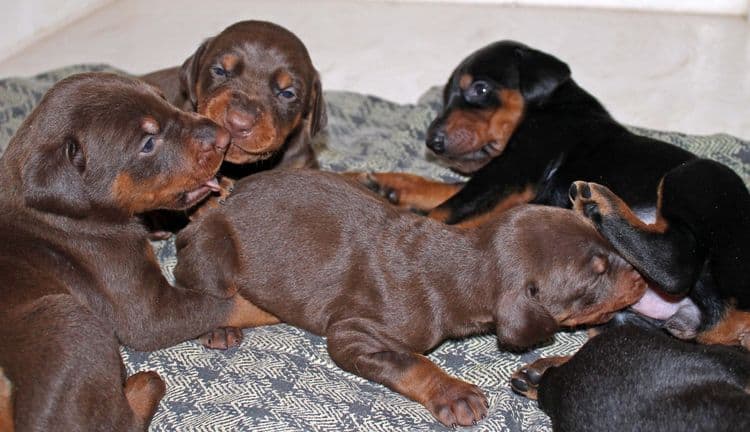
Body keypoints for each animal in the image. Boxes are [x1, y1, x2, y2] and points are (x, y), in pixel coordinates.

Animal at [0, 72, 270, 430]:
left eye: (164, 99)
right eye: (148, 144)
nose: (224, 138)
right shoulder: (145, 309)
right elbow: (229, 303)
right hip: (69, 322)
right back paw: (141, 383)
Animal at [173, 170, 648, 428]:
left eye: (603, 237)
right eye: (596, 275)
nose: (644, 279)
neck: (465, 260)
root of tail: (223, 198)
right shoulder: (353, 334)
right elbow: (408, 361)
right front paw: (454, 395)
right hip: (215, 250)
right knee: (193, 280)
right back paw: (218, 323)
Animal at [358, 41, 750, 352]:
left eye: (480, 90)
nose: (432, 141)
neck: (551, 107)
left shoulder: (513, 173)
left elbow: (445, 209)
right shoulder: (500, 176)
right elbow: (437, 186)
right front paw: (383, 185)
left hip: (695, 175)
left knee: (677, 263)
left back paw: (599, 204)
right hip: (629, 315)